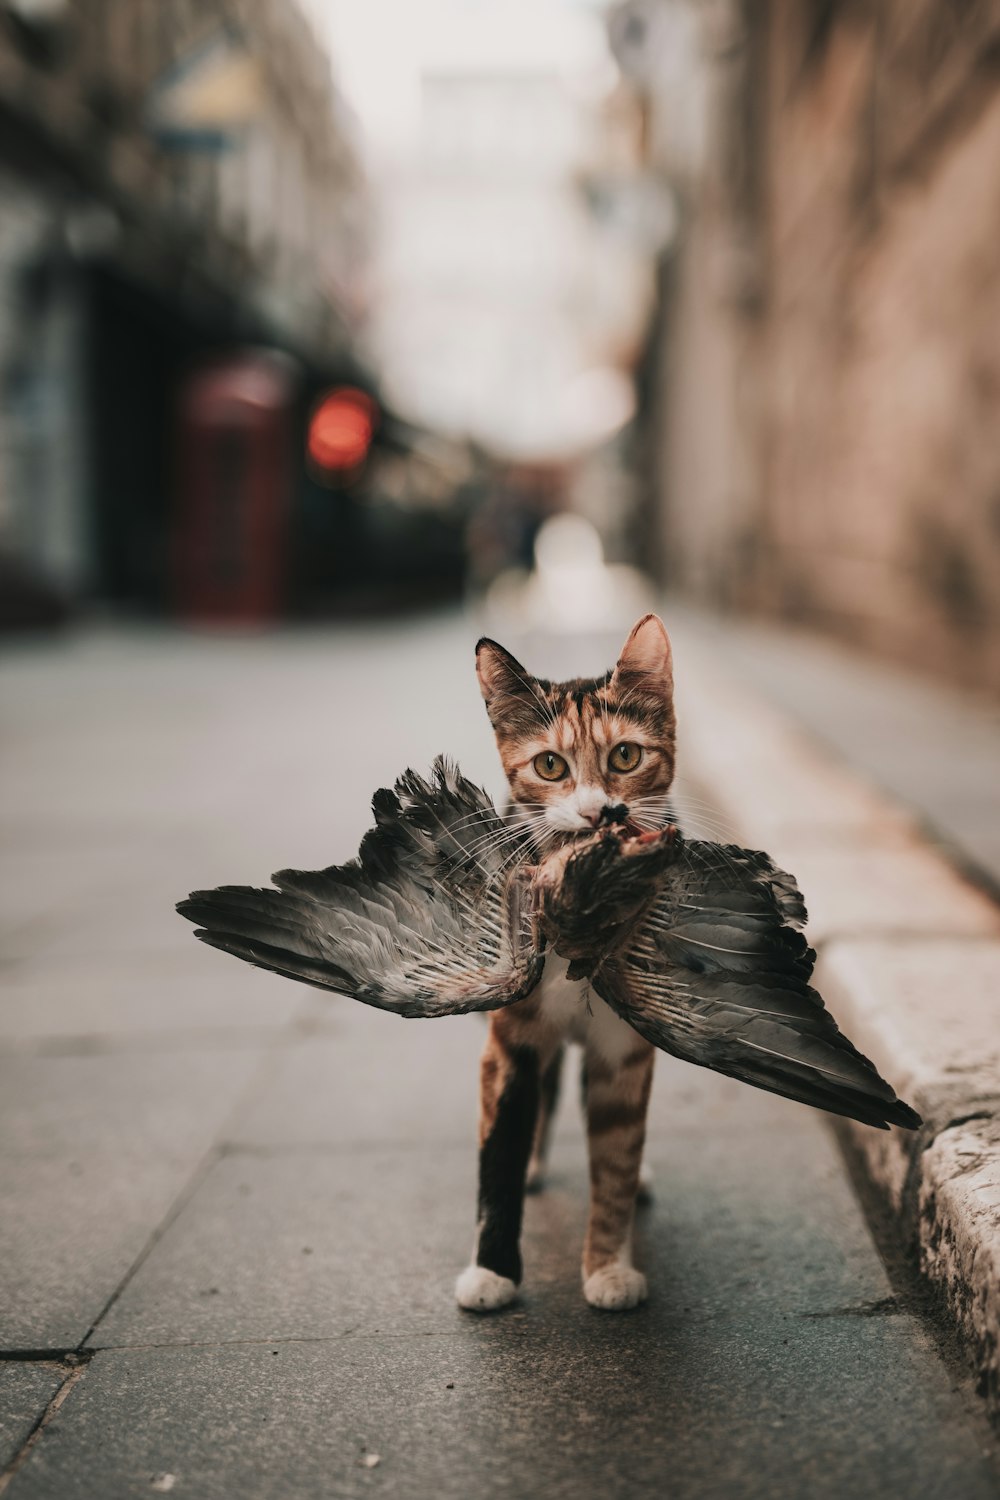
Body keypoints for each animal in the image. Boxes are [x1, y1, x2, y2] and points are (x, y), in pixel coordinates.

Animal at [455, 612, 677, 1314]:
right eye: (549, 765)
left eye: (626, 756)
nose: (599, 810)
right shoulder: (512, 1039)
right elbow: (497, 1152)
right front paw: (491, 1272)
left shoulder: (623, 1051)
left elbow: (615, 1156)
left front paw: (608, 1268)